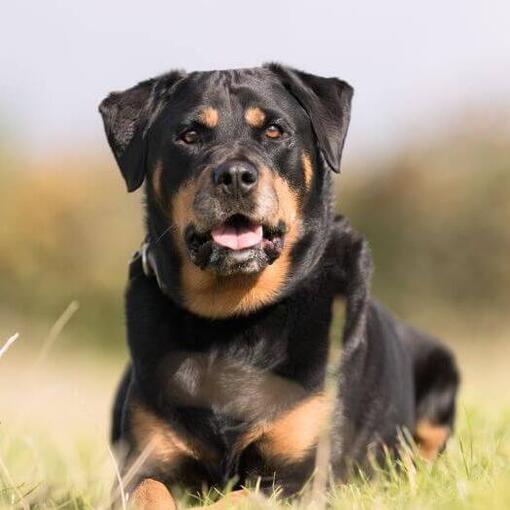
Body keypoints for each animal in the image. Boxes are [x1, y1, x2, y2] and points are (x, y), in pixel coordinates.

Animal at [98, 65, 458, 508]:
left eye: (274, 130)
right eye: (189, 135)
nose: (235, 176)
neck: (232, 318)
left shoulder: (303, 473)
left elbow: (236, 499)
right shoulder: (143, 461)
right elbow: (148, 490)